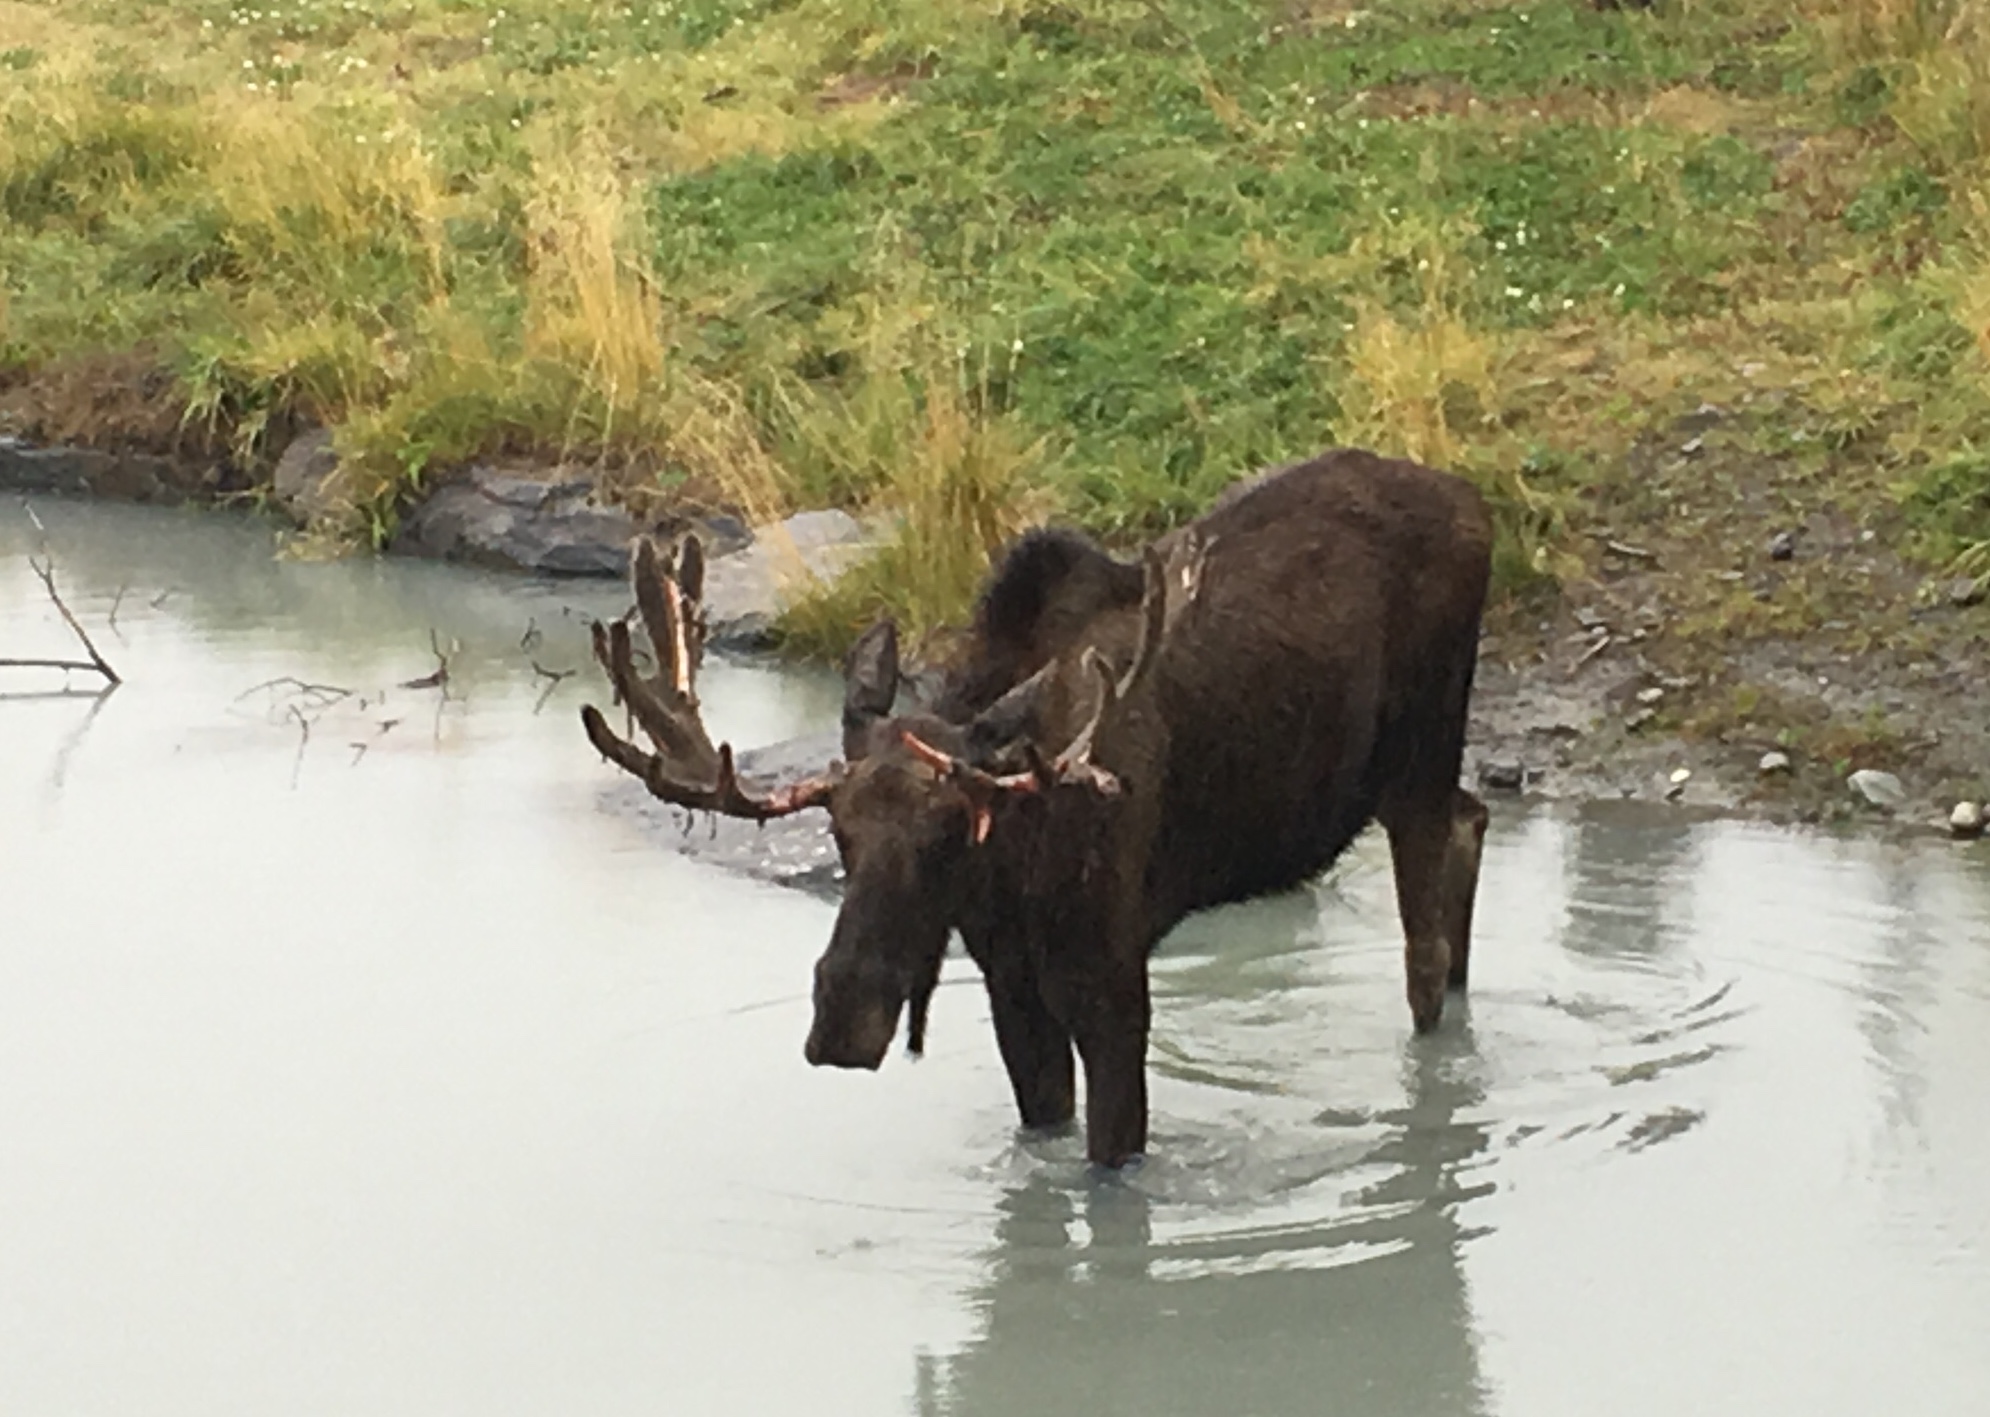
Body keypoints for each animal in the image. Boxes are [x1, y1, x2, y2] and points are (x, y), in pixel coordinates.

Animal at [581, 447, 1488, 1170]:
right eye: (840, 832)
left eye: (949, 832)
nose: (842, 1015)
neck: (1013, 866)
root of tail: (1475, 506)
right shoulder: (1008, 982)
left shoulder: (1114, 979)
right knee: (1473, 825)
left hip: (1422, 754)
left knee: (1426, 949)